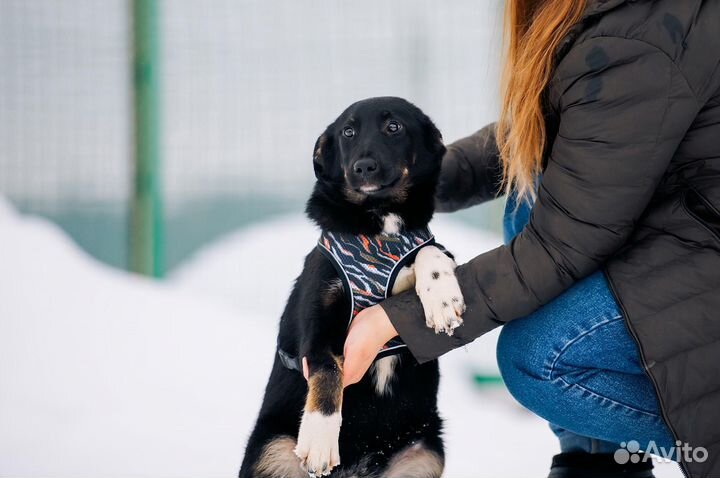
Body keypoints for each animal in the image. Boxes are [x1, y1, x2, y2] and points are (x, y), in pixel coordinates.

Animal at [240, 98, 466, 478]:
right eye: (348, 132)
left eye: (394, 127)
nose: (363, 167)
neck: (379, 228)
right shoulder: (316, 329)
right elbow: (328, 371)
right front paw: (319, 439)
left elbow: (432, 250)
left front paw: (442, 298)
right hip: (270, 454)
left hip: (424, 455)